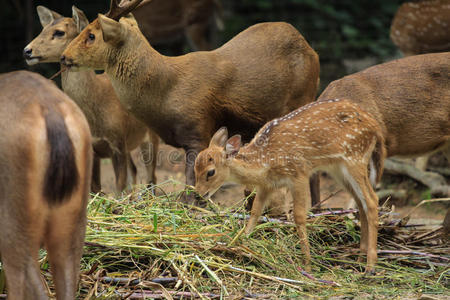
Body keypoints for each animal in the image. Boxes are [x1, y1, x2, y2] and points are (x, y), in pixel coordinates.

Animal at [24, 5, 160, 193]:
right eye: (43, 29)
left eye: (59, 32)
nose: (27, 51)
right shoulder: (94, 148)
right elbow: (96, 188)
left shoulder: (117, 142)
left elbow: (119, 186)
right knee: (135, 171)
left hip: (151, 135)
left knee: (151, 176)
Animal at [60, 0, 320, 204]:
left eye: (91, 35)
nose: (64, 57)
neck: (166, 92)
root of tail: (311, 49)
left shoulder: (198, 128)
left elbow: (190, 188)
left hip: (302, 100)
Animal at [195, 99, 384, 274]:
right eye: (196, 165)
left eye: (210, 172)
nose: (198, 194)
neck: (265, 161)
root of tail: (376, 127)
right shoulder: (267, 185)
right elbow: (255, 211)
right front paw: (239, 242)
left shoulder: (299, 174)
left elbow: (299, 216)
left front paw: (307, 265)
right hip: (338, 168)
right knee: (360, 202)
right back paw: (360, 258)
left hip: (355, 158)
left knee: (372, 199)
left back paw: (370, 266)